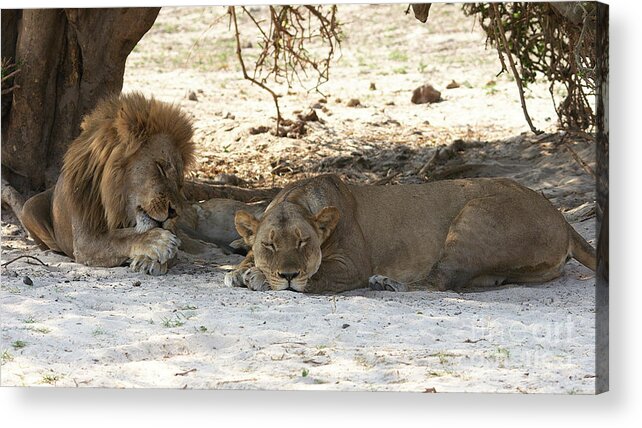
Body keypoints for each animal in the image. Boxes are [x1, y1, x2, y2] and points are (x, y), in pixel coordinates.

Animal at [21, 92, 194, 276]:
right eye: (160, 167)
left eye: (180, 183)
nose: (174, 213)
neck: (117, 204)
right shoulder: (85, 239)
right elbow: (119, 238)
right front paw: (157, 241)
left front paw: (148, 260)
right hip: (29, 206)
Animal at [225, 173, 596, 290]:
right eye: (270, 245)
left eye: (304, 242)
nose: (288, 274)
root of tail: (560, 216)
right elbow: (244, 260)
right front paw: (242, 271)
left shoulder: (351, 266)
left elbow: (317, 277)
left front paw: (258, 278)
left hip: (474, 215)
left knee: (440, 282)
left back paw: (388, 283)